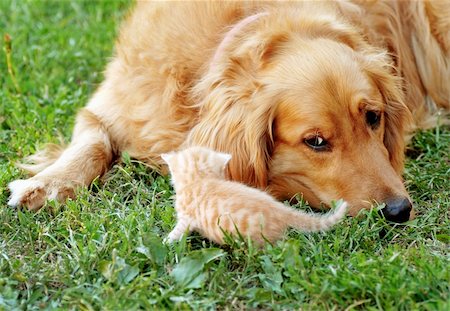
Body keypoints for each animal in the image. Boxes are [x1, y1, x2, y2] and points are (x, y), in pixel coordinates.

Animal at [7, 1, 450, 223]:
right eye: (316, 142)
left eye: (373, 118)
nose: (399, 211)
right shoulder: (115, 101)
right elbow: (94, 141)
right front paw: (49, 183)